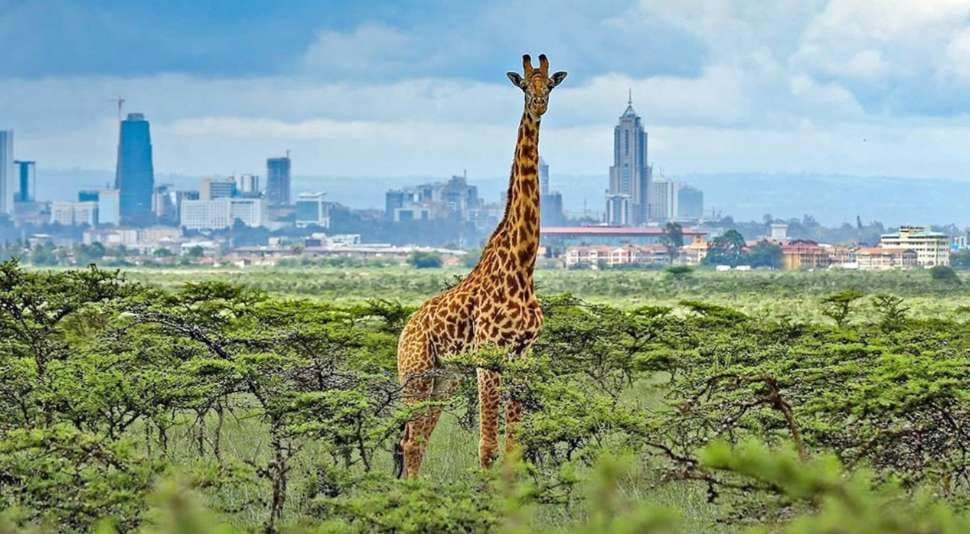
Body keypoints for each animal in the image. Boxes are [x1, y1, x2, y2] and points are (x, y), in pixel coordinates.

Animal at [395, 54, 567, 479]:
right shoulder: (488, 356)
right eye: (524, 85)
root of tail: (405, 331)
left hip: (445, 378)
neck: (522, 265)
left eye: (550, 85)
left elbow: (512, 448)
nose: (539, 105)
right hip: (416, 374)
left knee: (418, 441)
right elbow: (487, 448)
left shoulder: (522, 357)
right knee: (409, 440)